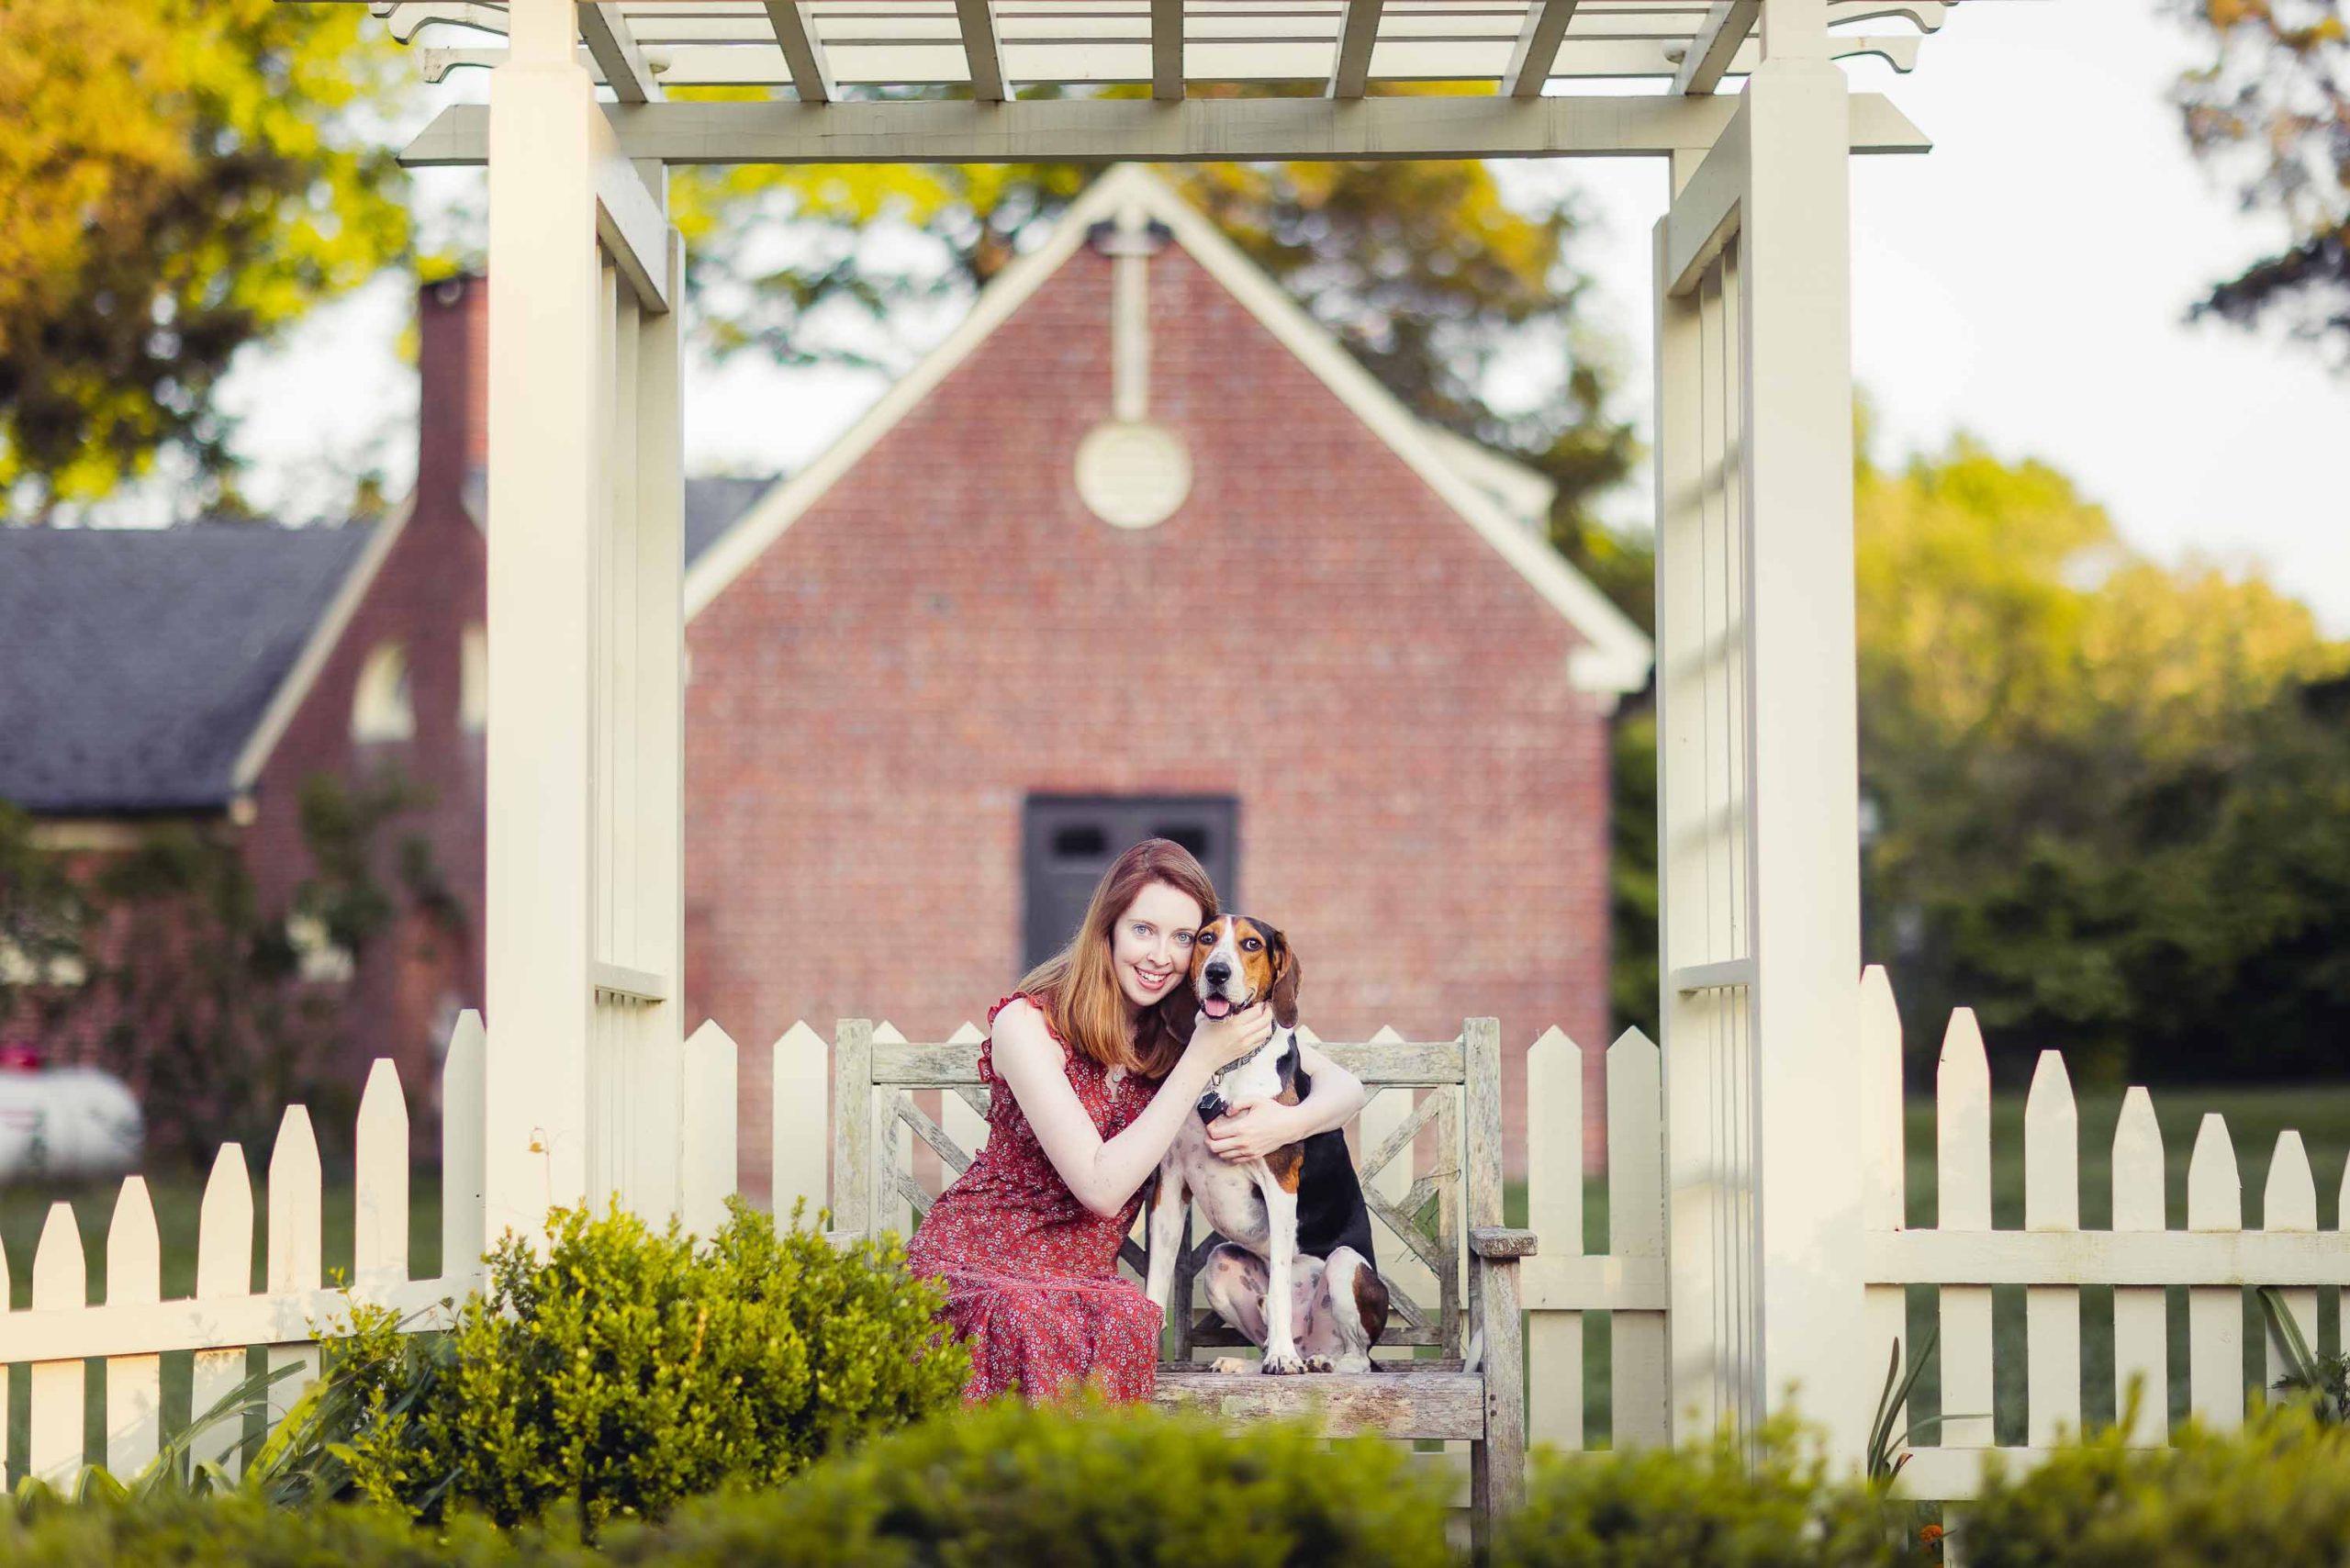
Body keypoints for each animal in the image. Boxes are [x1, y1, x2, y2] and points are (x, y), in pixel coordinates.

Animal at [1142, 912, 1391, 1382]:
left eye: (1252, 944)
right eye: (1205, 939)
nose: (1217, 973)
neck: (1225, 1067)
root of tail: (1311, 1339)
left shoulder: (1279, 1184)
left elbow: (1276, 1285)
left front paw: (1282, 1358)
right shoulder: (1170, 1186)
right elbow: (1156, 1278)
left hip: (1347, 1264)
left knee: (1359, 1360)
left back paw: (1314, 1360)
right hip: (1219, 1263)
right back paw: (1247, 1362)